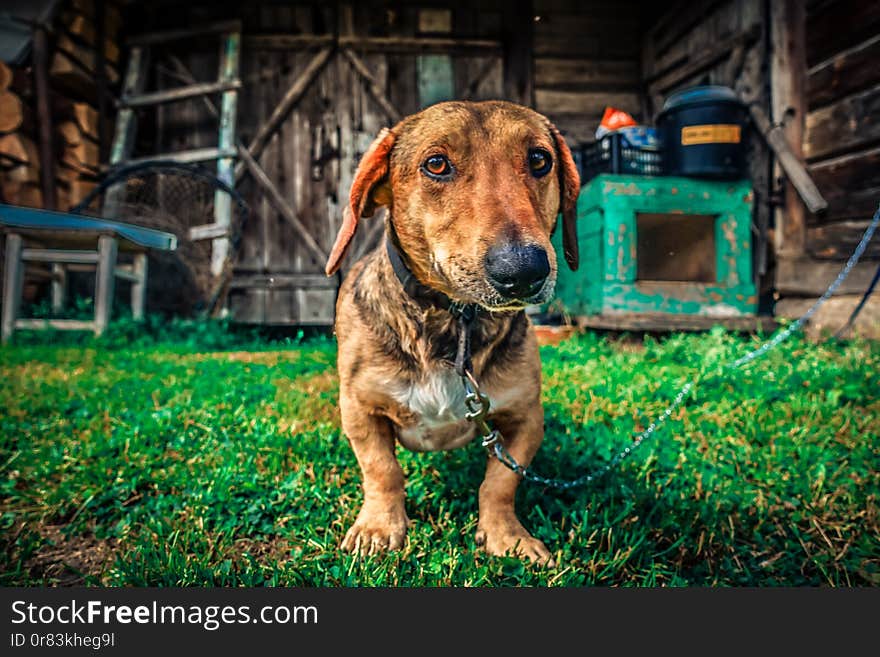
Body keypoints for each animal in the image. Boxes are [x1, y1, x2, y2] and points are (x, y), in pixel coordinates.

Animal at [324, 100, 576, 560]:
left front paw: (506, 535)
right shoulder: (361, 409)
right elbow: (382, 470)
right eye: (437, 164)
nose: (522, 270)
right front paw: (379, 527)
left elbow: (500, 482)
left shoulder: (525, 420)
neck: (455, 321)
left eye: (539, 159)